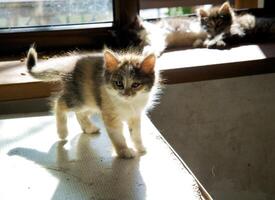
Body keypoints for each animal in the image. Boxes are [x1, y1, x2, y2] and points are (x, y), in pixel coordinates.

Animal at [26, 47, 160, 159]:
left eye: (136, 85)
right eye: (118, 84)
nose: (126, 94)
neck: (128, 104)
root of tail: (71, 66)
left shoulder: (135, 115)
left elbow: (136, 134)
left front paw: (140, 147)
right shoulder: (111, 116)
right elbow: (118, 136)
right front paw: (124, 151)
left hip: (94, 102)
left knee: (80, 114)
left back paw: (89, 128)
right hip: (80, 99)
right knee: (59, 103)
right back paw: (62, 131)